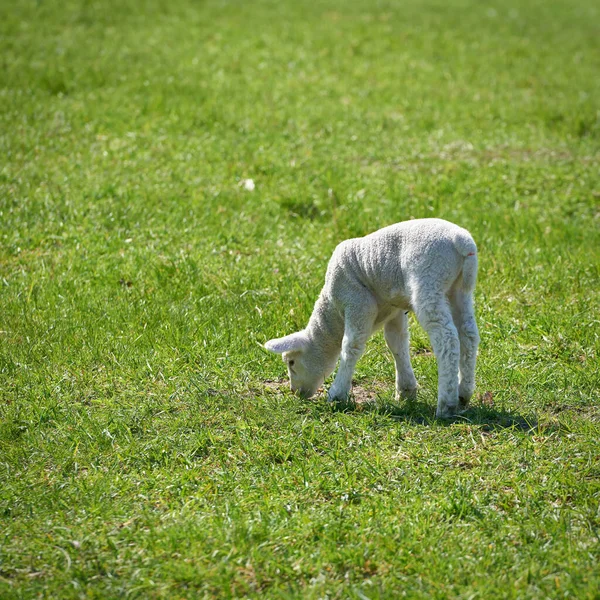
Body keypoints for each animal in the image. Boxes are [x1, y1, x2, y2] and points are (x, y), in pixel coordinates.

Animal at [264, 218, 480, 420]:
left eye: (291, 362)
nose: (295, 392)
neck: (332, 309)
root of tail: (461, 240)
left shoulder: (357, 302)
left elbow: (351, 345)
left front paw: (337, 394)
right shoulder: (395, 309)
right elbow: (397, 344)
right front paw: (405, 391)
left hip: (429, 279)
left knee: (446, 338)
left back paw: (446, 404)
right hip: (460, 289)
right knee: (468, 334)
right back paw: (463, 394)